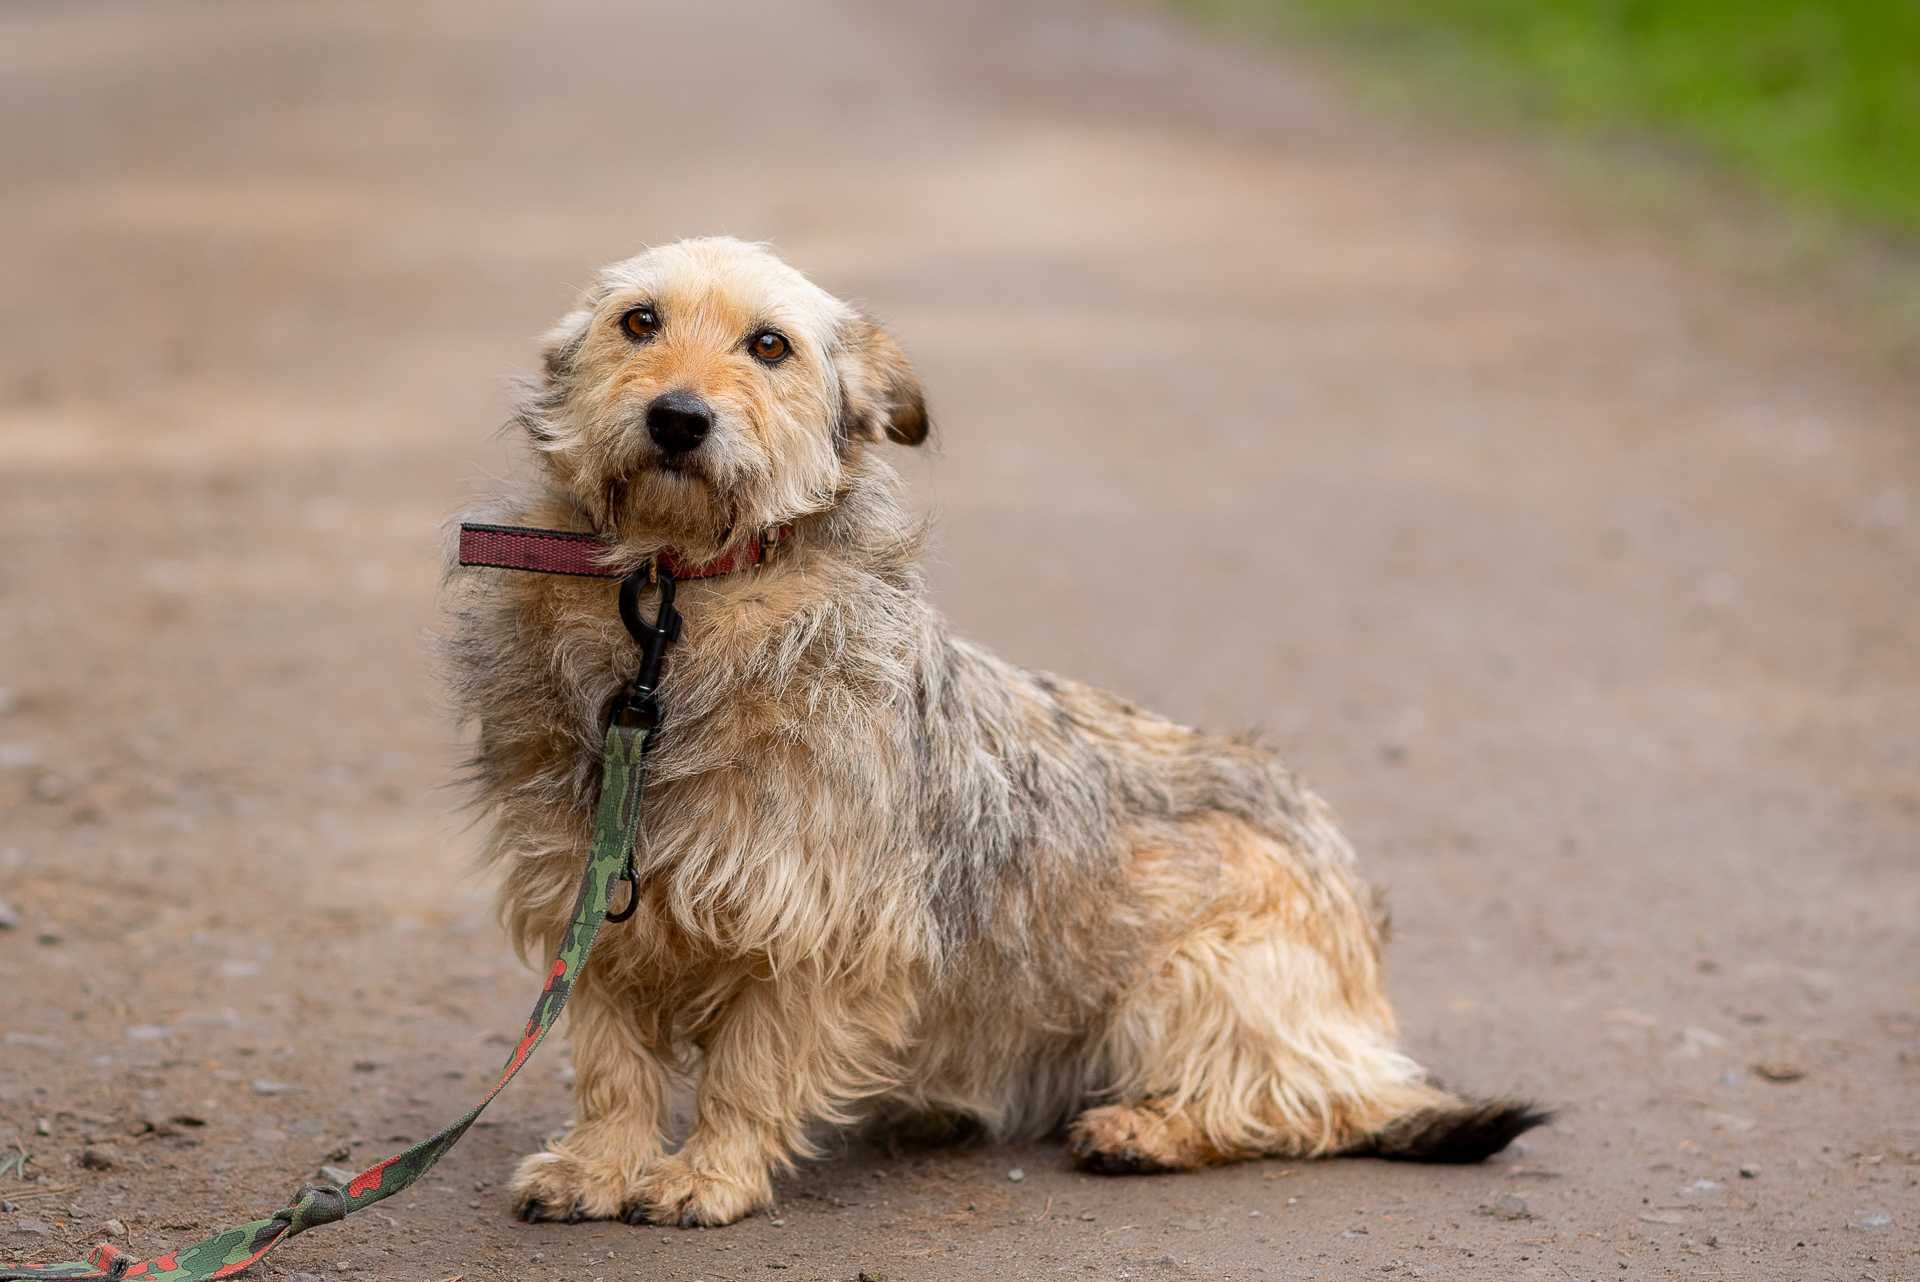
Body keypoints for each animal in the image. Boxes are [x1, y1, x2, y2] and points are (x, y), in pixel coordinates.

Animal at [439, 235, 1543, 1228]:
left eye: (769, 345)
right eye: (639, 322)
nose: (677, 417)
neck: (672, 603)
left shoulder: (821, 928)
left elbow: (749, 1070)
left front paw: (705, 1175)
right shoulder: (587, 894)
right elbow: (611, 1063)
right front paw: (597, 1165)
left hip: (1201, 978)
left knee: (1303, 1104)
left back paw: (1146, 1128)